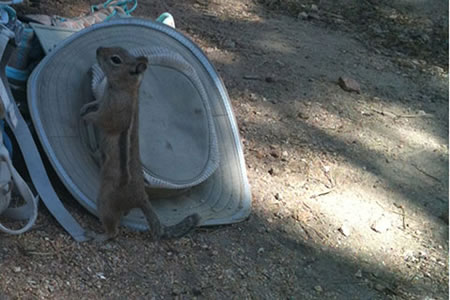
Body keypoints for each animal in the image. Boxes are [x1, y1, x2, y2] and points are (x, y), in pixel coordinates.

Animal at [80, 47, 200, 244]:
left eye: (115, 59)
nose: (98, 49)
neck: (127, 89)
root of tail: (141, 197)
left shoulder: (112, 112)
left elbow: (101, 120)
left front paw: (85, 117)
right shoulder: (102, 100)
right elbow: (94, 103)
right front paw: (85, 107)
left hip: (105, 200)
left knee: (113, 231)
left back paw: (97, 236)